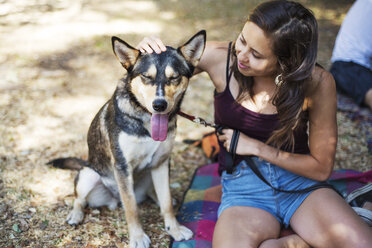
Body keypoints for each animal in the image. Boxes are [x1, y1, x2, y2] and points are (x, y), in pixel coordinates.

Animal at [47, 30, 206, 247]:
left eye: (174, 77)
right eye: (146, 76)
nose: (159, 105)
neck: (146, 120)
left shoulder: (161, 162)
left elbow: (166, 203)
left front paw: (174, 229)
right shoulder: (122, 166)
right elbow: (131, 208)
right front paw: (138, 237)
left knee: (156, 195)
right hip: (89, 174)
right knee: (80, 199)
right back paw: (76, 215)